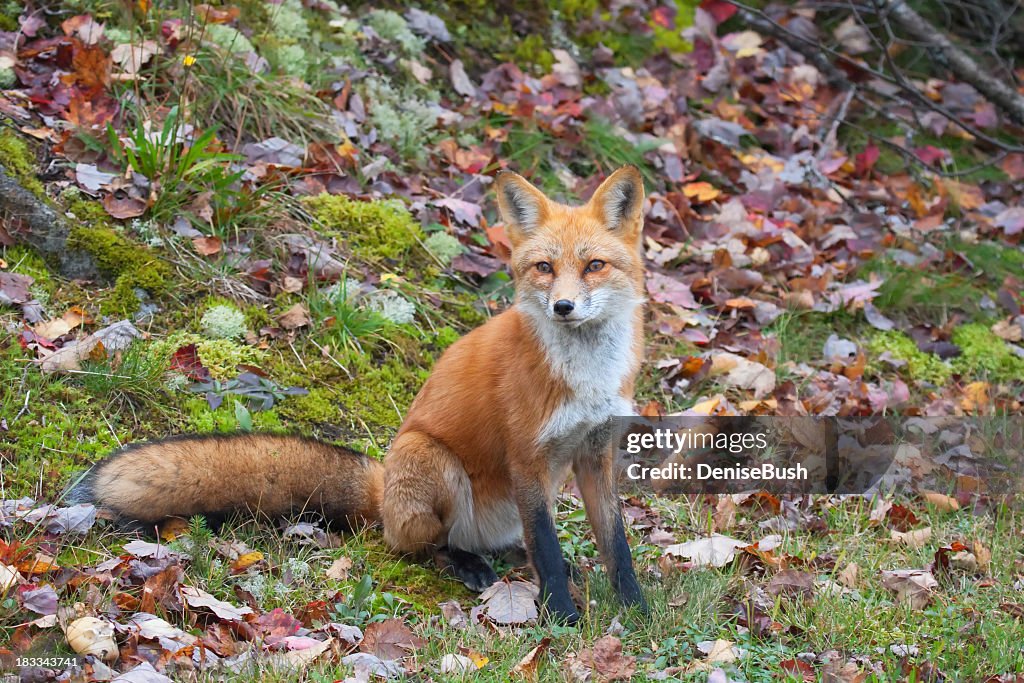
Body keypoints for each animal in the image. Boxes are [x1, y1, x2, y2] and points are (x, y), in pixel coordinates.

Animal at [70, 166, 647, 626]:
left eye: (593, 265)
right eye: (544, 268)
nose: (563, 307)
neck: (586, 376)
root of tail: (382, 485)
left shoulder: (595, 451)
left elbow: (615, 543)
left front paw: (637, 609)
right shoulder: (527, 456)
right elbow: (545, 547)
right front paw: (563, 616)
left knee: (507, 540)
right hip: (431, 460)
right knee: (424, 544)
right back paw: (466, 563)